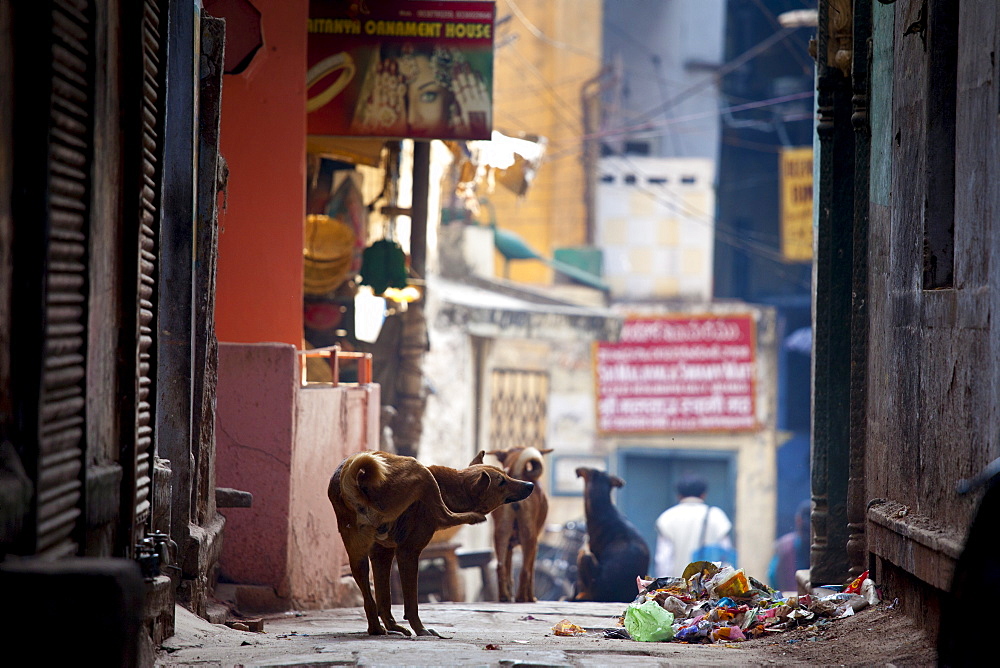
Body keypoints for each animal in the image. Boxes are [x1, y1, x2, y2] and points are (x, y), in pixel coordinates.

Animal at [328, 448, 536, 636]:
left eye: (507, 475)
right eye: (502, 481)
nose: (531, 484)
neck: (451, 487)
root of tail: (355, 478)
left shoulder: (381, 553)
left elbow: (384, 599)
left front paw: (391, 625)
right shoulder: (408, 552)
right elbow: (411, 602)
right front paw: (419, 629)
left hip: (357, 557)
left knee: (368, 597)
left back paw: (376, 629)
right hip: (419, 471)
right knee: (445, 515)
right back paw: (473, 517)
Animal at [486, 446, 552, 604]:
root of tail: (517, 473)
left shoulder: (509, 546)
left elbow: (509, 571)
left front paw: (509, 593)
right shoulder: (535, 546)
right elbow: (531, 573)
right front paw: (531, 597)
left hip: (500, 534)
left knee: (500, 567)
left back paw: (504, 597)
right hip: (529, 538)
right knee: (524, 571)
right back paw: (522, 598)